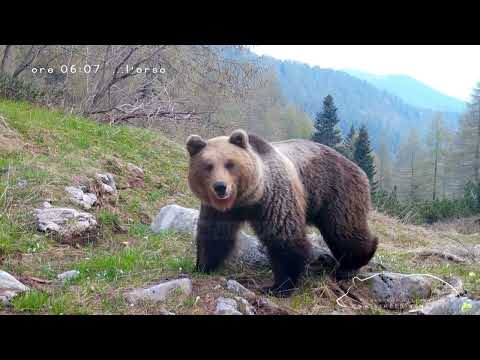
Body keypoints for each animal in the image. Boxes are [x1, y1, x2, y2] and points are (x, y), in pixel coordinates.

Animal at [186, 128, 376, 296]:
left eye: (230, 164)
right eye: (208, 166)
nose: (220, 187)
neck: (247, 199)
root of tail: (358, 169)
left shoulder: (274, 198)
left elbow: (284, 239)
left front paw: (279, 287)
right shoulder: (219, 210)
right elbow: (214, 235)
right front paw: (203, 266)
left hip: (336, 193)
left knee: (344, 231)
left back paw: (350, 265)